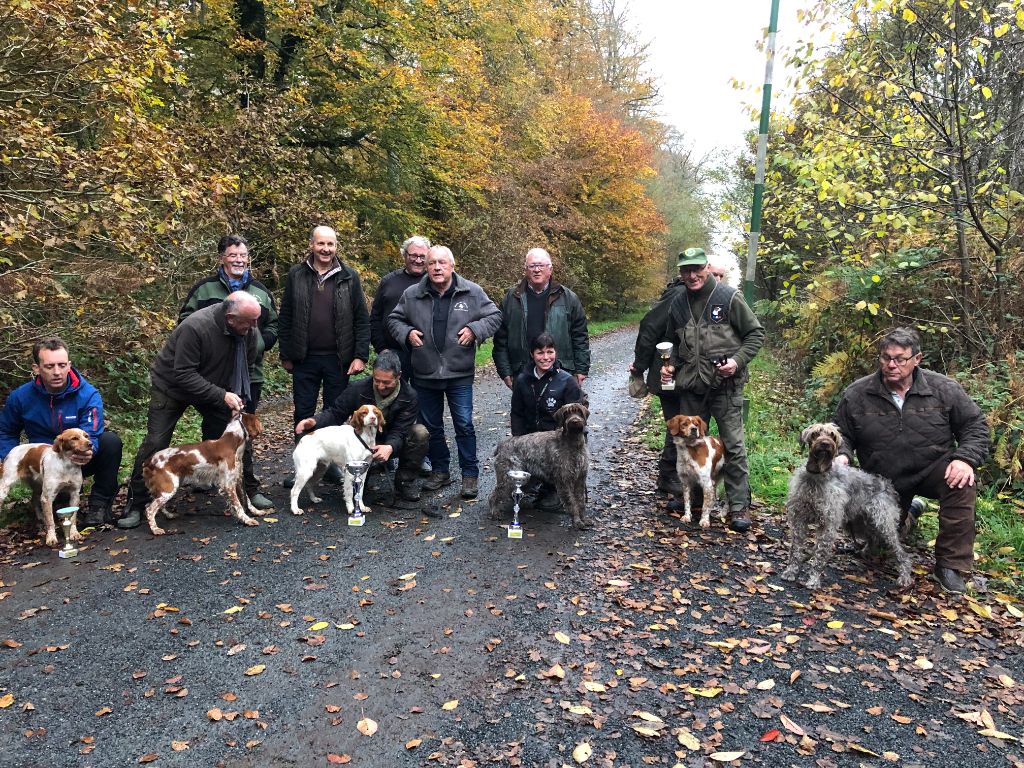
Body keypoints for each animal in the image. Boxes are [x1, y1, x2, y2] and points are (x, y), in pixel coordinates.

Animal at [782, 428, 913, 589]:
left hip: (884, 525)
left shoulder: (828, 524)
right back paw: (865, 553)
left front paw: (814, 579)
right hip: (860, 523)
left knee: (901, 553)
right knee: (873, 539)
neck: (817, 476)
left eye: (832, 435)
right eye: (815, 433)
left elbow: (820, 553)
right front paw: (791, 571)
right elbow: (795, 549)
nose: (825, 443)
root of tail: (887, 485)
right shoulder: (799, 519)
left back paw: (905, 576)